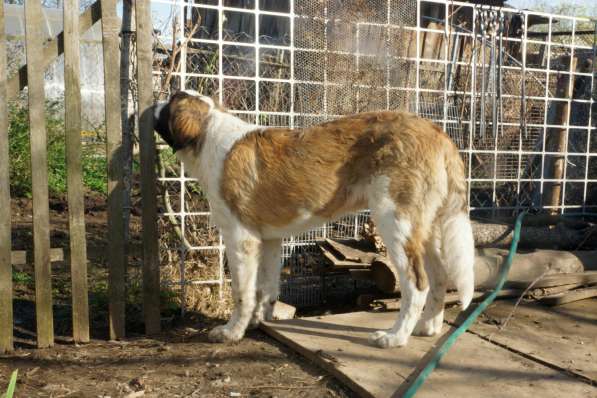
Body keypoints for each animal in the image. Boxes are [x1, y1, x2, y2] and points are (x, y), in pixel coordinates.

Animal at [154, 91, 474, 348]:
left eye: (168, 103)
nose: (150, 106)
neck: (209, 135)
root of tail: (436, 132)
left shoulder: (239, 238)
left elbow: (242, 292)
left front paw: (232, 332)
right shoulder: (269, 240)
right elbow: (266, 287)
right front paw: (260, 321)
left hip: (395, 223)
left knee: (417, 285)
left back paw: (395, 337)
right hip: (424, 230)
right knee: (440, 276)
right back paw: (428, 327)